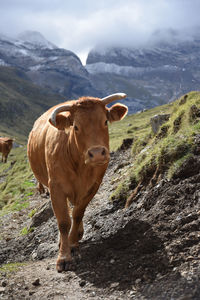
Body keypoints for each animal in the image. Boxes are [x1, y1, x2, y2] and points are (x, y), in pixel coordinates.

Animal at [27, 93, 128, 272]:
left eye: (105, 121)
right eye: (76, 127)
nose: (97, 153)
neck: (80, 165)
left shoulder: (94, 185)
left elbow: (78, 214)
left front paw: (73, 243)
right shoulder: (56, 188)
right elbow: (63, 222)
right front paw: (64, 257)